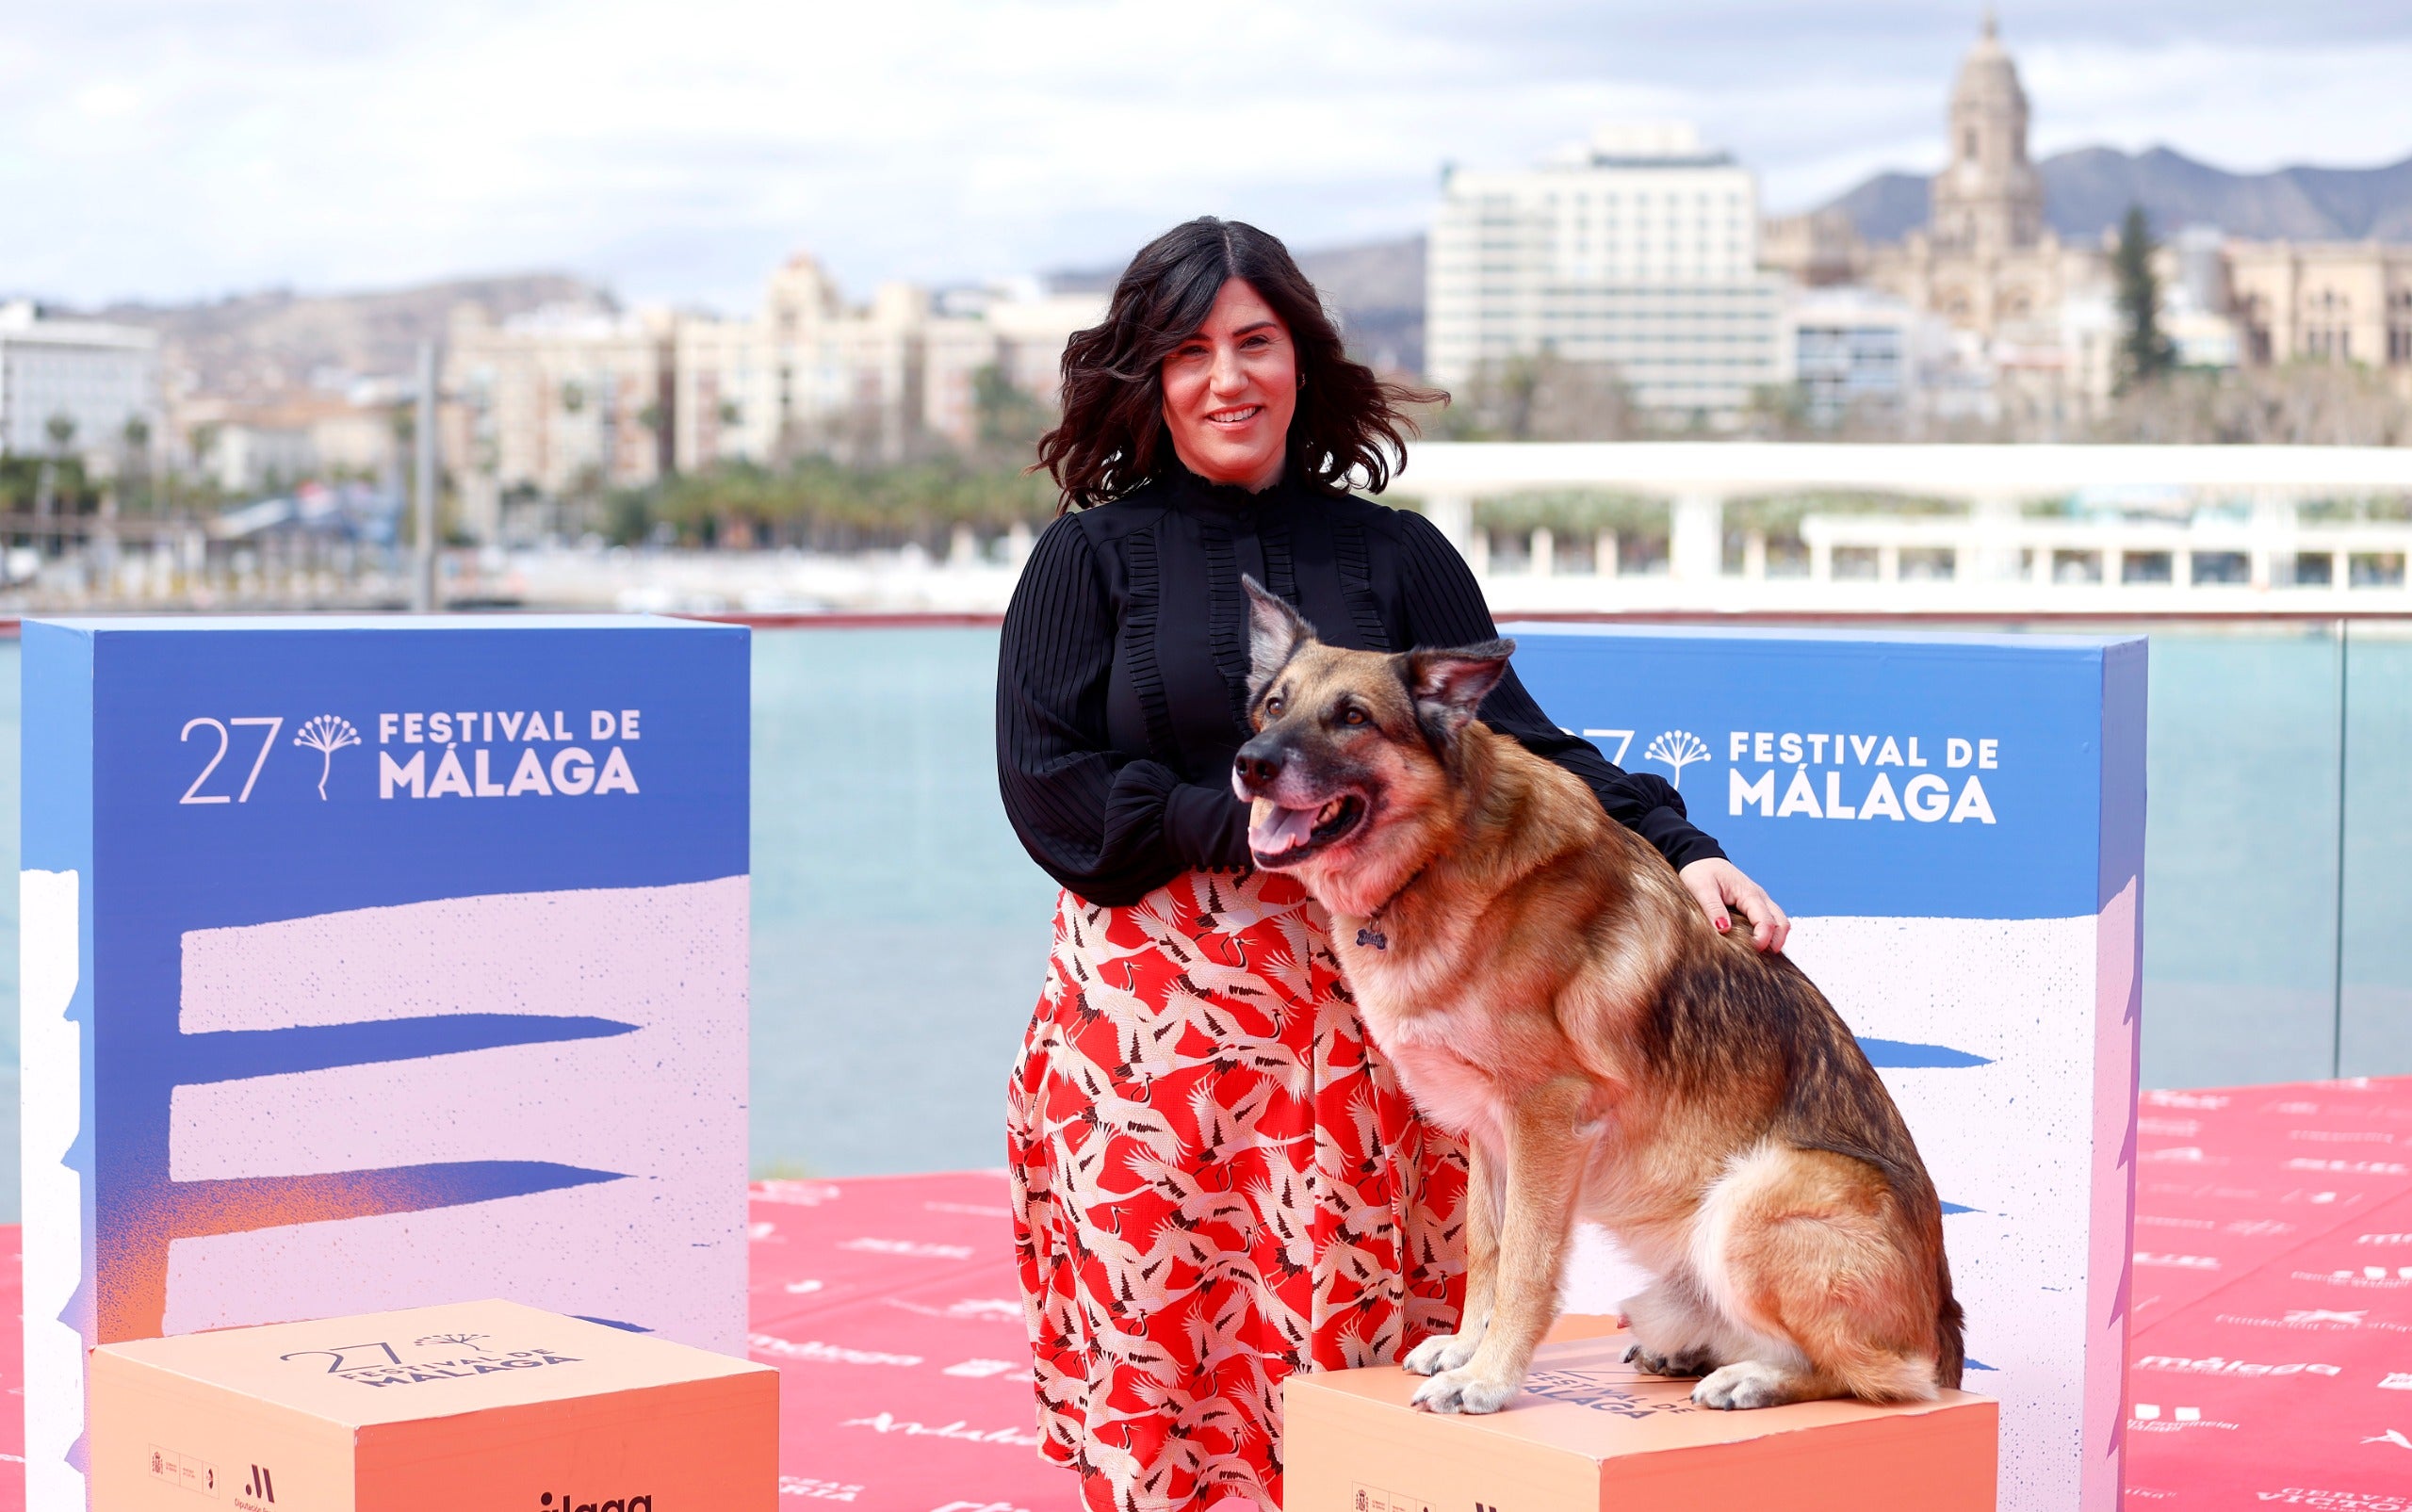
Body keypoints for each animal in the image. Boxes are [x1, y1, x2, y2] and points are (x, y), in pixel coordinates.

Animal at [1225, 578, 1958, 1418]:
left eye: (1352, 717)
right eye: (1274, 705)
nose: (1249, 765)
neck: (1435, 855)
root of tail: (1945, 1324)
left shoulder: (1546, 1118)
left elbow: (1526, 1262)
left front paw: (1487, 1377)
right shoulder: (1491, 1130)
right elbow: (1488, 1245)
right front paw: (1467, 1347)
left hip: (1752, 1197)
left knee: (1876, 1374)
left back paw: (1753, 1377)